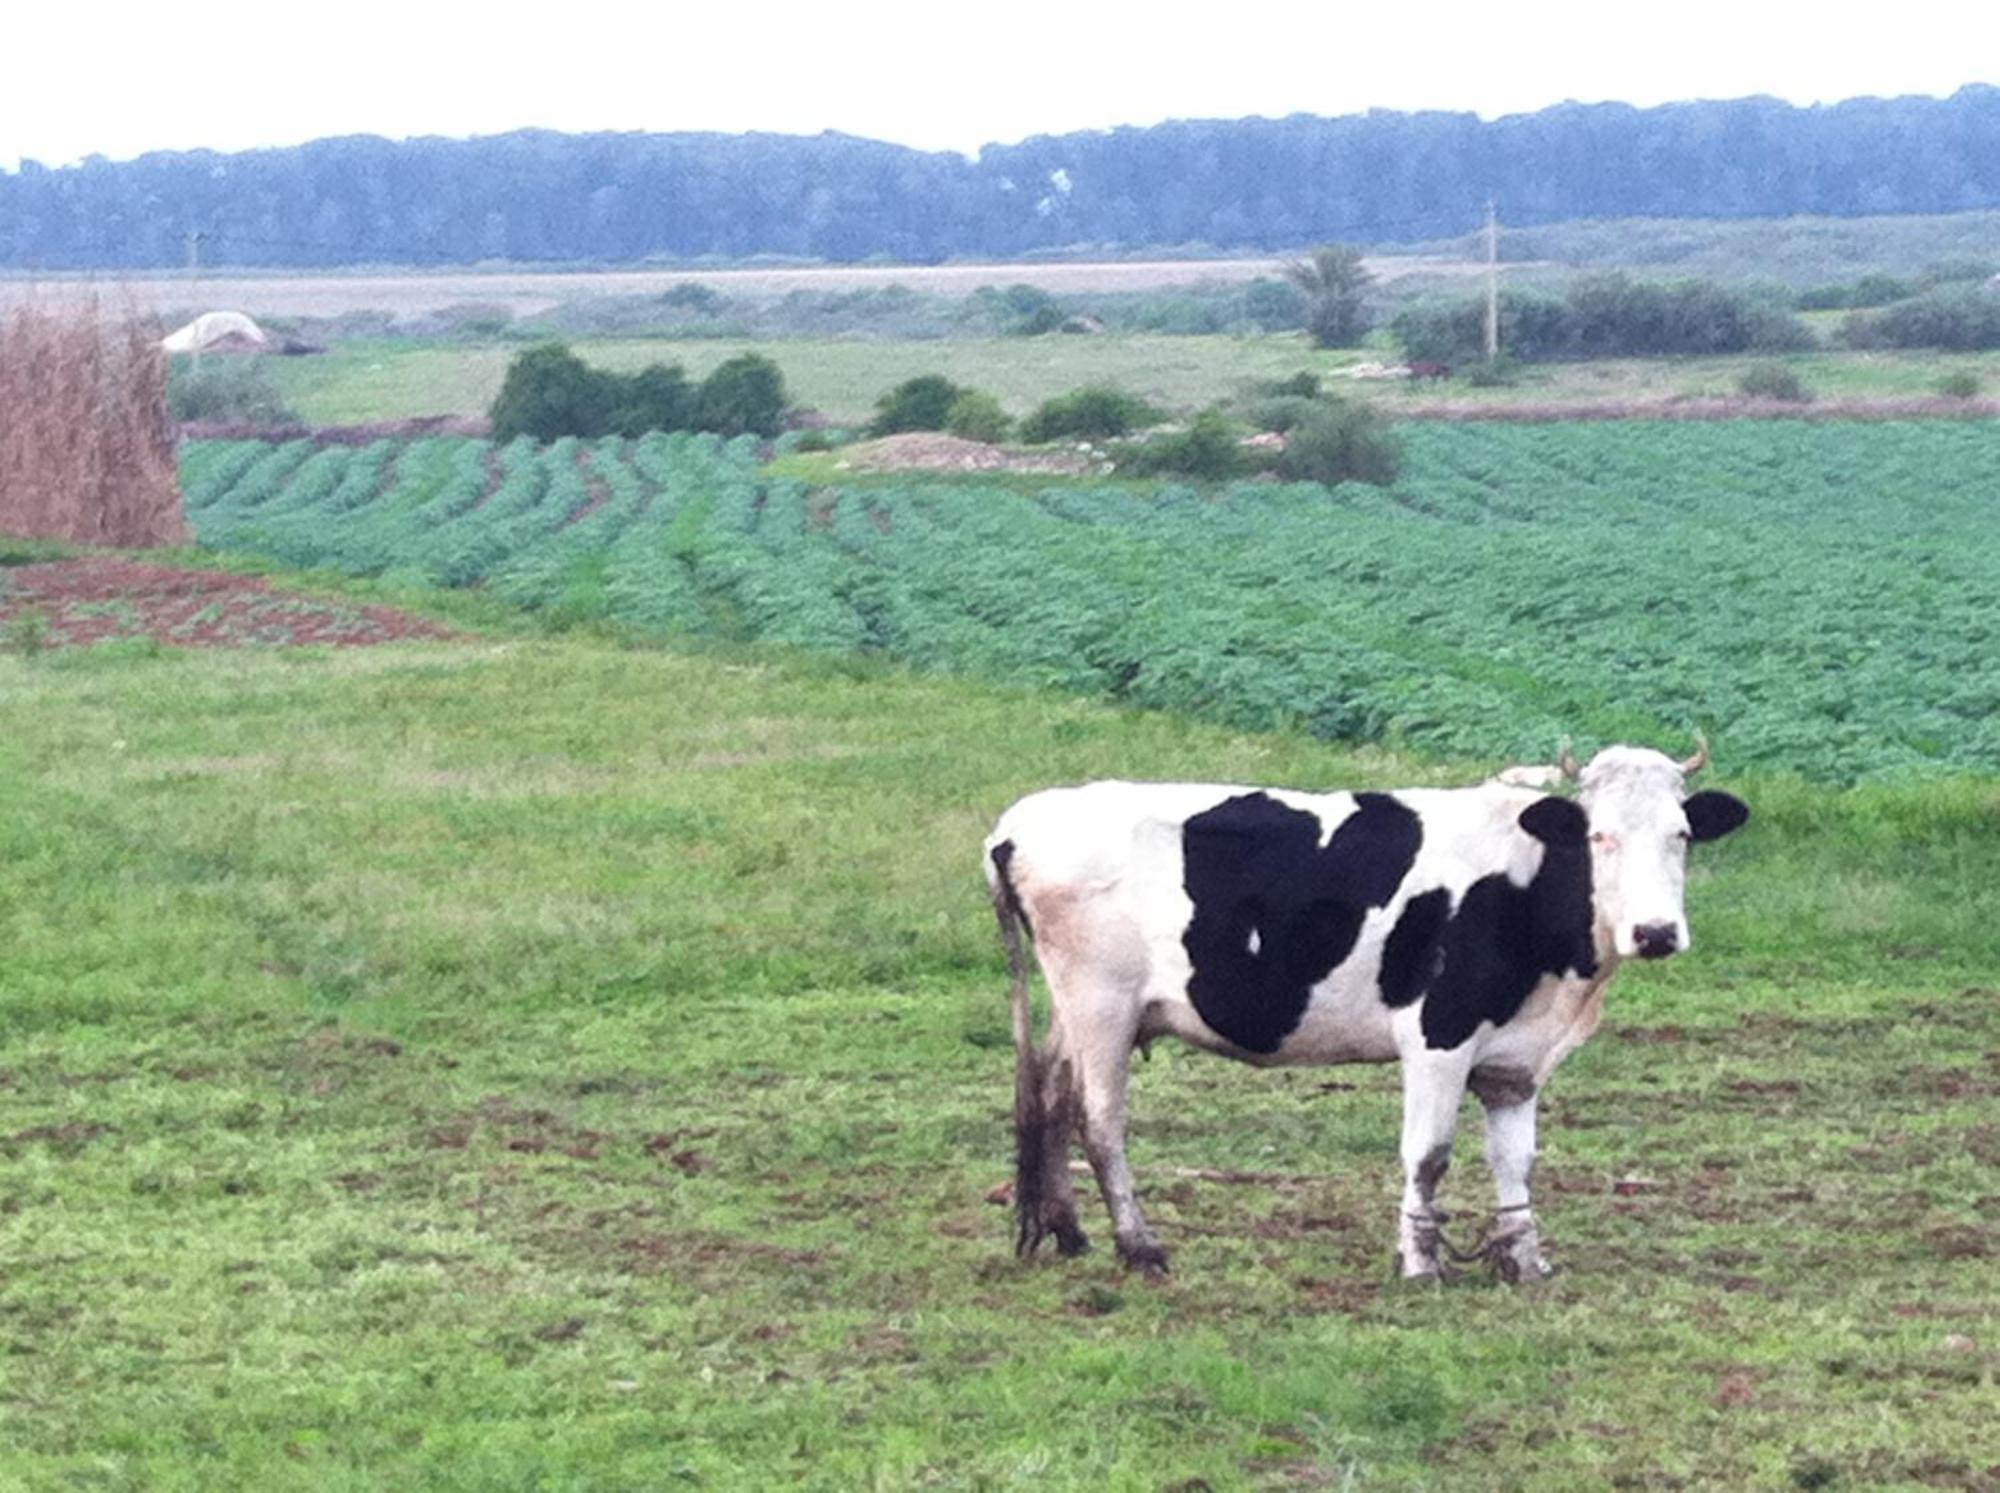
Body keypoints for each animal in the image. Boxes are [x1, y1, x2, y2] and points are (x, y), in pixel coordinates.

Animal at [988, 740, 1752, 1272]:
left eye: (1682, 834)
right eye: (1600, 836)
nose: (1656, 932)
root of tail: (1021, 822)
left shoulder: (1516, 1060)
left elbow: (1517, 1160)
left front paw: (1522, 1259)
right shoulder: (1437, 1035)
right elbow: (1429, 1155)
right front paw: (1420, 1262)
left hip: (1073, 1011)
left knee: (1050, 1094)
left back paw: (1068, 1231)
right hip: (1102, 1006)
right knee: (1099, 1121)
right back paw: (1138, 1246)